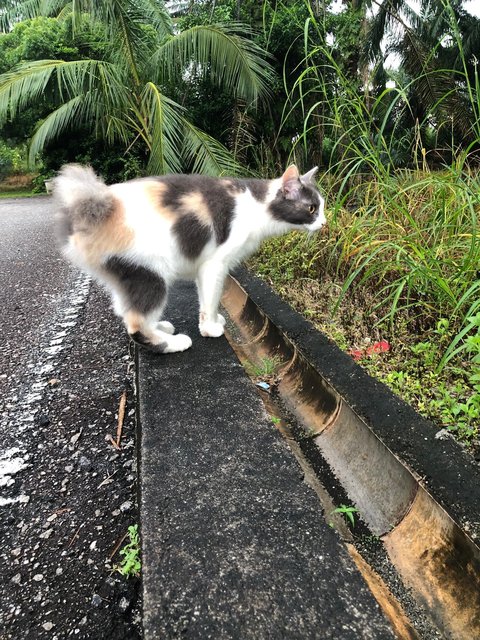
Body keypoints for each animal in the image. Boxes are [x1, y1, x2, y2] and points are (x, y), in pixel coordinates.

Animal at [53, 165, 326, 352]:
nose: (324, 223)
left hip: (127, 274)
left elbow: (207, 298)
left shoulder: (202, 266)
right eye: (312, 208)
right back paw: (172, 343)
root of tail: (95, 207)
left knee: (125, 308)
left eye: (321, 208)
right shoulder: (215, 264)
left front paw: (212, 321)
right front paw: (210, 329)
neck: (257, 206)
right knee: (136, 323)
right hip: (152, 274)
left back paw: (161, 327)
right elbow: (211, 300)